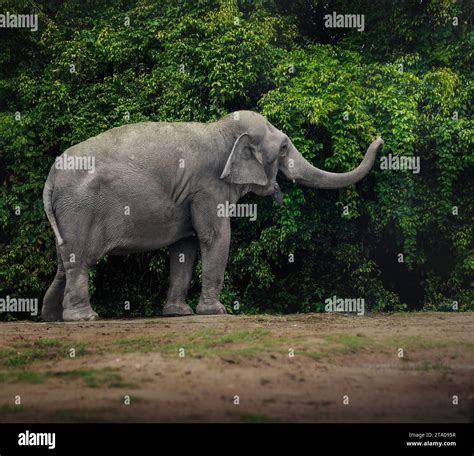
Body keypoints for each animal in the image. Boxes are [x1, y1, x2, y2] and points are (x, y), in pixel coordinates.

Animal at [41, 110, 386, 320]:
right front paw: (216, 312)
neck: (220, 130)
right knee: (79, 260)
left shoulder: (189, 195)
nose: (380, 137)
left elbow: (185, 248)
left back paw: (52, 317)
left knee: (64, 262)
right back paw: (84, 318)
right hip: (80, 208)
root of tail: (50, 178)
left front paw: (179, 314)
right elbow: (216, 236)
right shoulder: (207, 187)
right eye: (284, 148)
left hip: (66, 213)